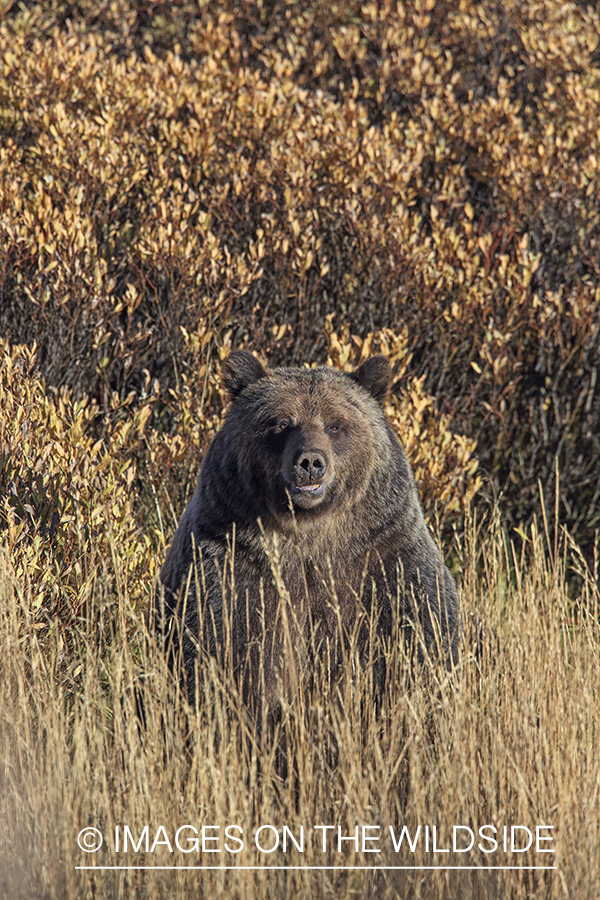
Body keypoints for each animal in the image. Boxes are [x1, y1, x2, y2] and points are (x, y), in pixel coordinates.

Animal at [158, 352, 460, 712]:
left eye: (335, 425)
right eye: (281, 423)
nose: (310, 462)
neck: (311, 533)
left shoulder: (385, 557)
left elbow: (421, 633)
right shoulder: (233, 561)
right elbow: (224, 646)